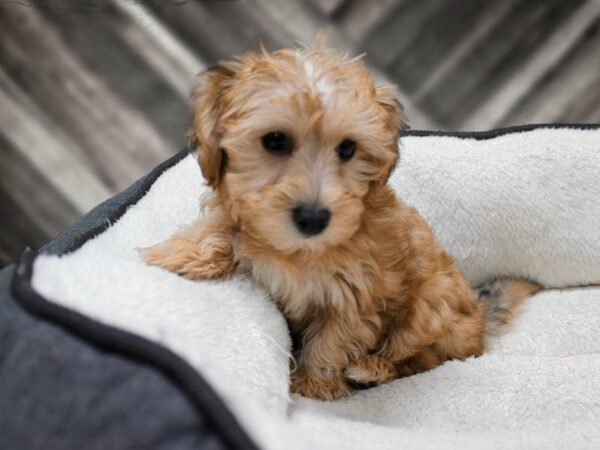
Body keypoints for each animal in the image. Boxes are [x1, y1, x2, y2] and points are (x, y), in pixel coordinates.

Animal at [143, 37, 540, 398]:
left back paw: (371, 369)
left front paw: (311, 387)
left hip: (433, 303)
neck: (296, 250)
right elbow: (220, 228)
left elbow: (331, 342)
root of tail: (479, 317)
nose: (313, 217)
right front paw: (174, 254)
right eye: (275, 141)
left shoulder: (356, 296)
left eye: (347, 149)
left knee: (419, 358)